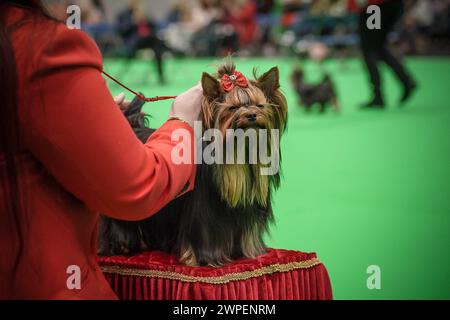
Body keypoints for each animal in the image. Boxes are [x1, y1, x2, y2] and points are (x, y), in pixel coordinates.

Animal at [98, 61, 288, 266]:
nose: (252, 114)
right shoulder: (202, 214)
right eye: (232, 108)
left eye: (260, 105)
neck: (240, 153)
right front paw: (202, 259)